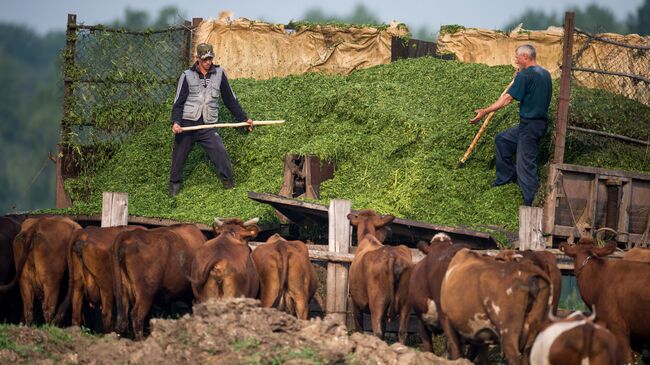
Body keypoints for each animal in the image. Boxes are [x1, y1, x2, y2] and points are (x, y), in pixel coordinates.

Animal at [346, 209, 412, 342]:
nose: (390, 231)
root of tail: (392, 256)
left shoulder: (356, 301)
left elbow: (359, 328)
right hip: (406, 304)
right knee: (402, 332)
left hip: (377, 302)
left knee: (377, 332)